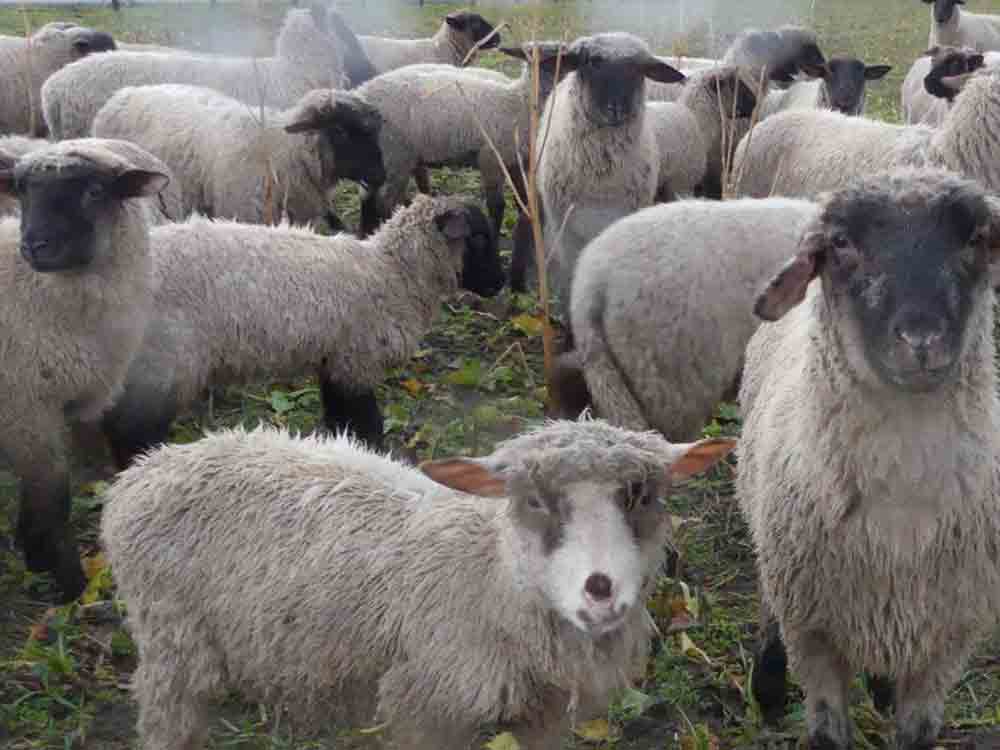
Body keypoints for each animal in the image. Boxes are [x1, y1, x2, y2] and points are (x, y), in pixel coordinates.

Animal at [0, 137, 170, 602]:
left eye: (94, 191)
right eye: (21, 190)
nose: (34, 246)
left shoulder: (58, 409)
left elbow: (38, 492)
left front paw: (34, 554)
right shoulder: (24, 407)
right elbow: (55, 496)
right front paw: (71, 586)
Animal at [99, 195, 504, 468]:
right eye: (480, 237)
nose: (500, 285)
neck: (391, 274)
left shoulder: (336, 361)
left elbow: (341, 420)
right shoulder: (357, 362)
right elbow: (367, 424)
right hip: (162, 362)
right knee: (130, 432)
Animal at [100, 417, 736, 750]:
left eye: (642, 495)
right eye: (532, 500)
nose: (600, 590)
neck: (489, 574)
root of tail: (145, 471)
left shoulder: (545, 713)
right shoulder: (425, 708)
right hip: (170, 646)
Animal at [737, 168, 1000, 750]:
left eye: (976, 238)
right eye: (841, 244)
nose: (921, 339)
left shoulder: (945, 641)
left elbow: (919, 731)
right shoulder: (813, 635)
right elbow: (828, 732)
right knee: (767, 596)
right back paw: (767, 681)